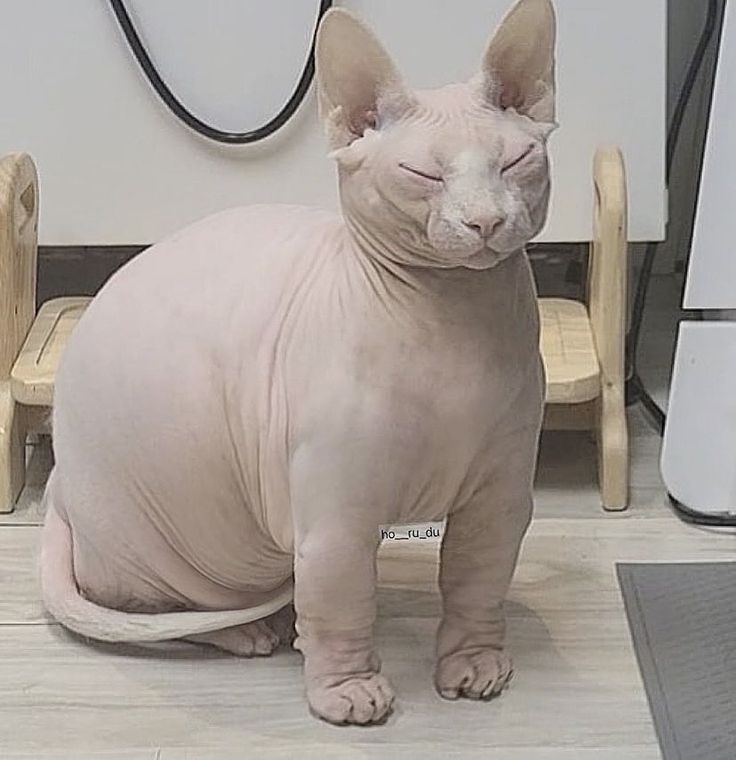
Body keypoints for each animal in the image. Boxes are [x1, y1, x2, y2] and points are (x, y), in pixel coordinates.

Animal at [40, 0, 556, 724]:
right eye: (424, 175)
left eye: (514, 161)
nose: (484, 222)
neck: (456, 324)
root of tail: (57, 488)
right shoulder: (336, 513)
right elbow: (340, 598)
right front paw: (346, 689)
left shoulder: (500, 495)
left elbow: (479, 579)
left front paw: (475, 662)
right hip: (184, 538)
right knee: (160, 609)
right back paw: (252, 630)